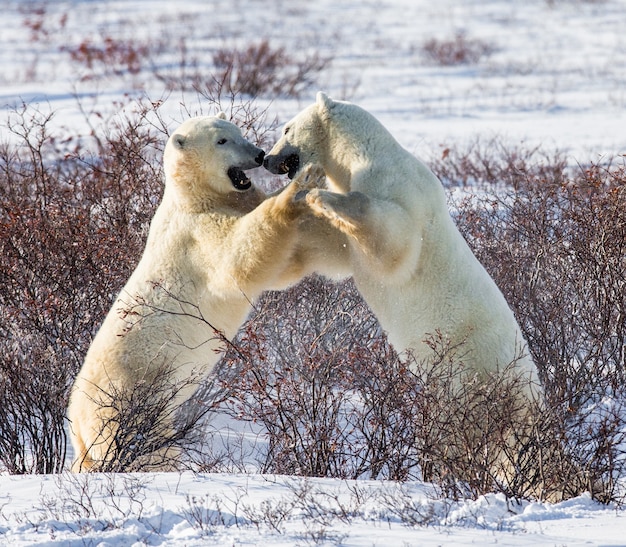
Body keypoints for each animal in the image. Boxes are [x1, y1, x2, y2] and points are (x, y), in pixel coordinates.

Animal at [71, 113, 352, 474]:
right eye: (222, 141)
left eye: (238, 132)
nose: (259, 154)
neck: (194, 195)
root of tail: (75, 422)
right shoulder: (196, 235)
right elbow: (238, 258)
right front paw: (301, 183)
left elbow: (286, 264)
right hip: (126, 402)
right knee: (144, 449)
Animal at [260, 92, 540, 396]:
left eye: (287, 129)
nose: (267, 159)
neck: (363, 152)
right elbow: (334, 248)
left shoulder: (398, 186)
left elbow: (395, 244)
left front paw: (318, 196)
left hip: (477, 360)